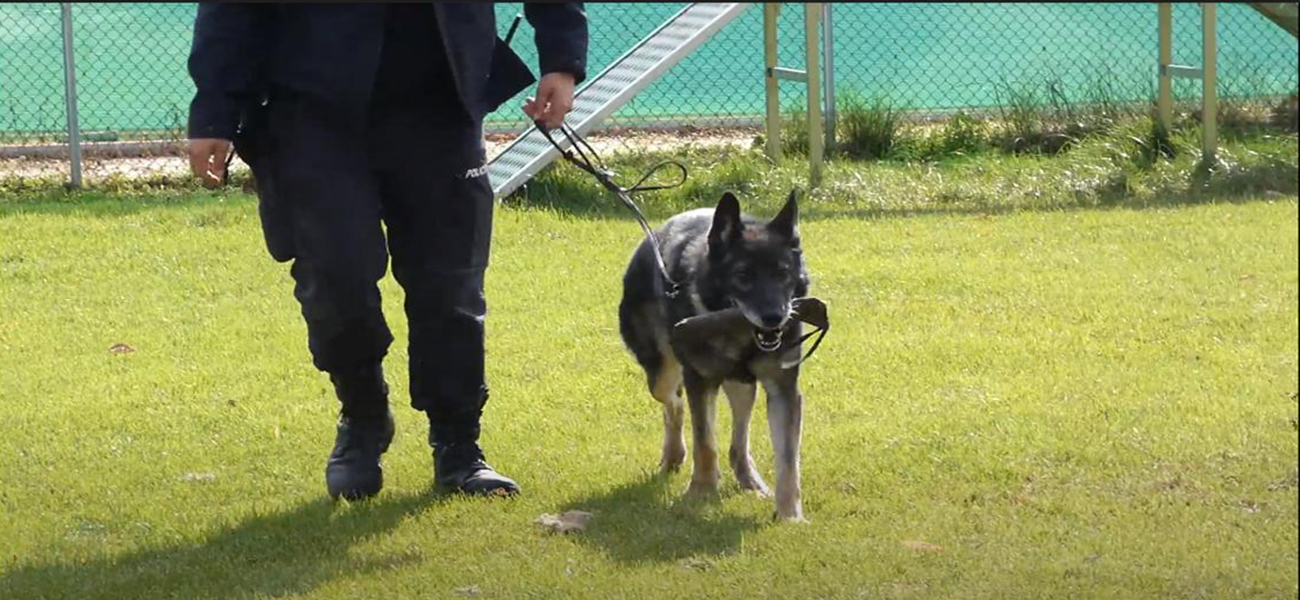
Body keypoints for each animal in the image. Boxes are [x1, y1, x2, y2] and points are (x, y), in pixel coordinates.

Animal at [616, 190, 800, 519]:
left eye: (783, 273)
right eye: (743, 275)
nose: (774, 318)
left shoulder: (784, 390)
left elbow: (788, 458)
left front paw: (790, 515)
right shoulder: (700, 382)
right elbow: (704, 442)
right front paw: (700, 492)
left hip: (741, 385)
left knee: (739, 442)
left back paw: (750, 480)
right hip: (663, 374)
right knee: (674, 405)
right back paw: (674, 455)